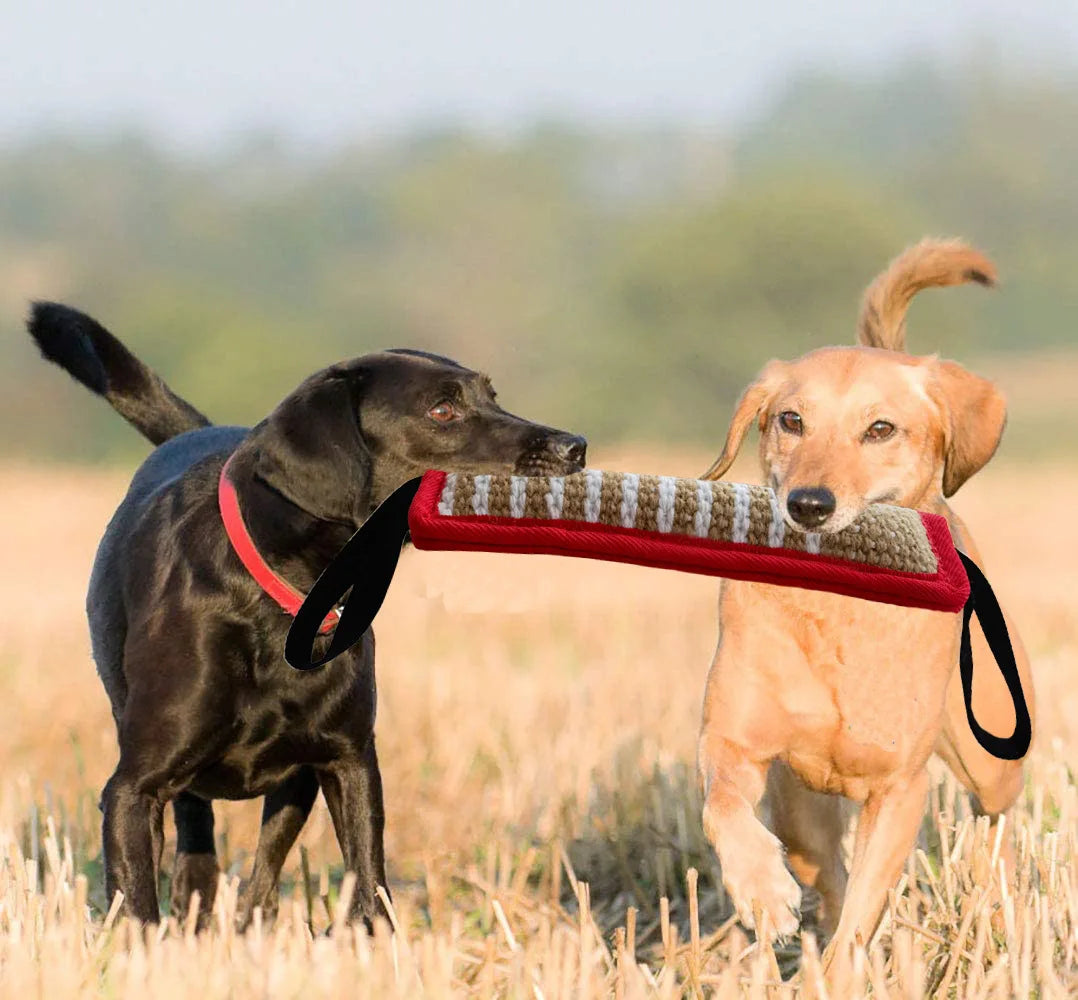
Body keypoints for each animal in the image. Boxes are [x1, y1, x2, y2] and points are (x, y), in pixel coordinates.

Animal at [29, 301, 586, 926]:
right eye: (442, 410)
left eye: (492, 395)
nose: (575, 447)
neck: (281, 600)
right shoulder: (132, 790)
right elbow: (139, 907)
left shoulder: (349, 762)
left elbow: (370, 886)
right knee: (199, 841)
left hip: (297, 782)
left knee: (263, 873)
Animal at [698, 238, 1034, 978]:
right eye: (791, 420)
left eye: (880, 429)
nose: (809, 504)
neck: (840, 615)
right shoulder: (734, 740)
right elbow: (724, 807)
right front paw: (761, 892)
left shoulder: (898, 789)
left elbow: (862, 912)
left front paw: (839, 975)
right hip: (801, 812)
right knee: (821, 868)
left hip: (991, 759)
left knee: (997, 824)